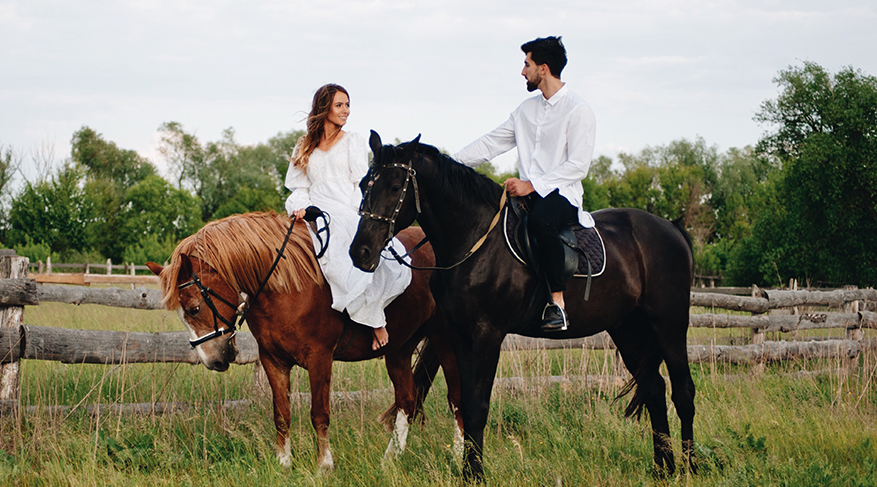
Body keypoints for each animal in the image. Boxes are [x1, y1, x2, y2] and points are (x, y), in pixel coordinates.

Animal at [149, 213, 466, 472]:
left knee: (456, 399)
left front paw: (324, 465)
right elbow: (281, 413)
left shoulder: (319, 358)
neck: (286, 286)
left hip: (445, 343)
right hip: (399, 349)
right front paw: (283, 463)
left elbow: (319, 413)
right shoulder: (273, 361)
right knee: (407, 401)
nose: (212, 360)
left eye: (193, 309)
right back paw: (390, 460)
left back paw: (457, 457)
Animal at [350, 132, 700, 480]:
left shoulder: (488, 334)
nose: (360, 253)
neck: (475, 242)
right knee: (654, 389)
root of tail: (670, 228)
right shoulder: (459, 335)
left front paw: (475, 473)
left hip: (669, 325)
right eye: (364, 184)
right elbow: (465, 401)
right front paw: (467, 471)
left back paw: (691, 466)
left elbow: (478, 406)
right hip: (628, 330)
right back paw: (662, 468)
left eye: (395, 187)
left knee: (683, 391)